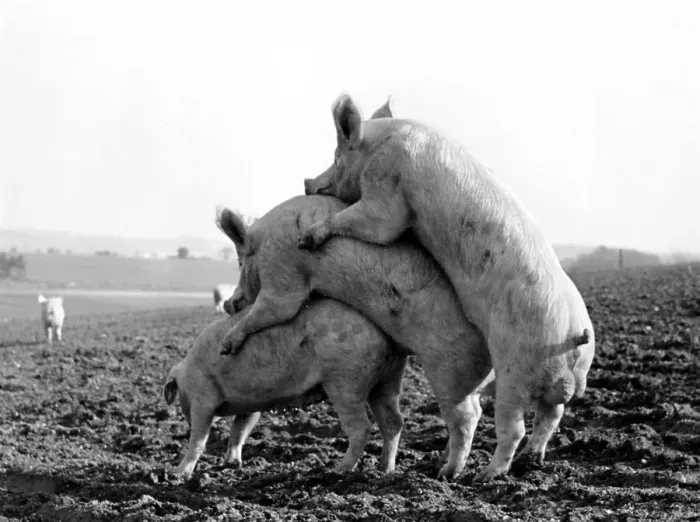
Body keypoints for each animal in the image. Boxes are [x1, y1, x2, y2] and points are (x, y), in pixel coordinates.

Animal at [163, 298, 407, 479]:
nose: (173, 472)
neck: (186, 373)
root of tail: (384, 337)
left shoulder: (202, 397)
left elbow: (200, 438)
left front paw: (177, 474)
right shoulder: (250, 402)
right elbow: (239, 430)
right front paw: (232, 464)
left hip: (345, 381)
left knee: (361, 427)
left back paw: (338, 470)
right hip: (388, 379)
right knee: (393, 421)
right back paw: (385, 469)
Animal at [216, 196, 494, 480]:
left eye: (240, 263)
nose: (229, 303)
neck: (264, 242)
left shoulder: (281, 271)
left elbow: (276, 309)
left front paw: (226, 346)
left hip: (450, 372)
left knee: (466, 418)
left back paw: (446, 473)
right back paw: (397, 469)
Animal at [299, 94, 596, 482]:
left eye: (336, 157)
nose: (306, 182)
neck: (378, 145)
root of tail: (575, 337)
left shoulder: (386, 187)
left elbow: (375, 224)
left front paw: (307, 239)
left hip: (515, 371)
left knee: (511, 426)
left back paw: (477, 475)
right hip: (554, 381)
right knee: (551, 417)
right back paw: (531, 461)